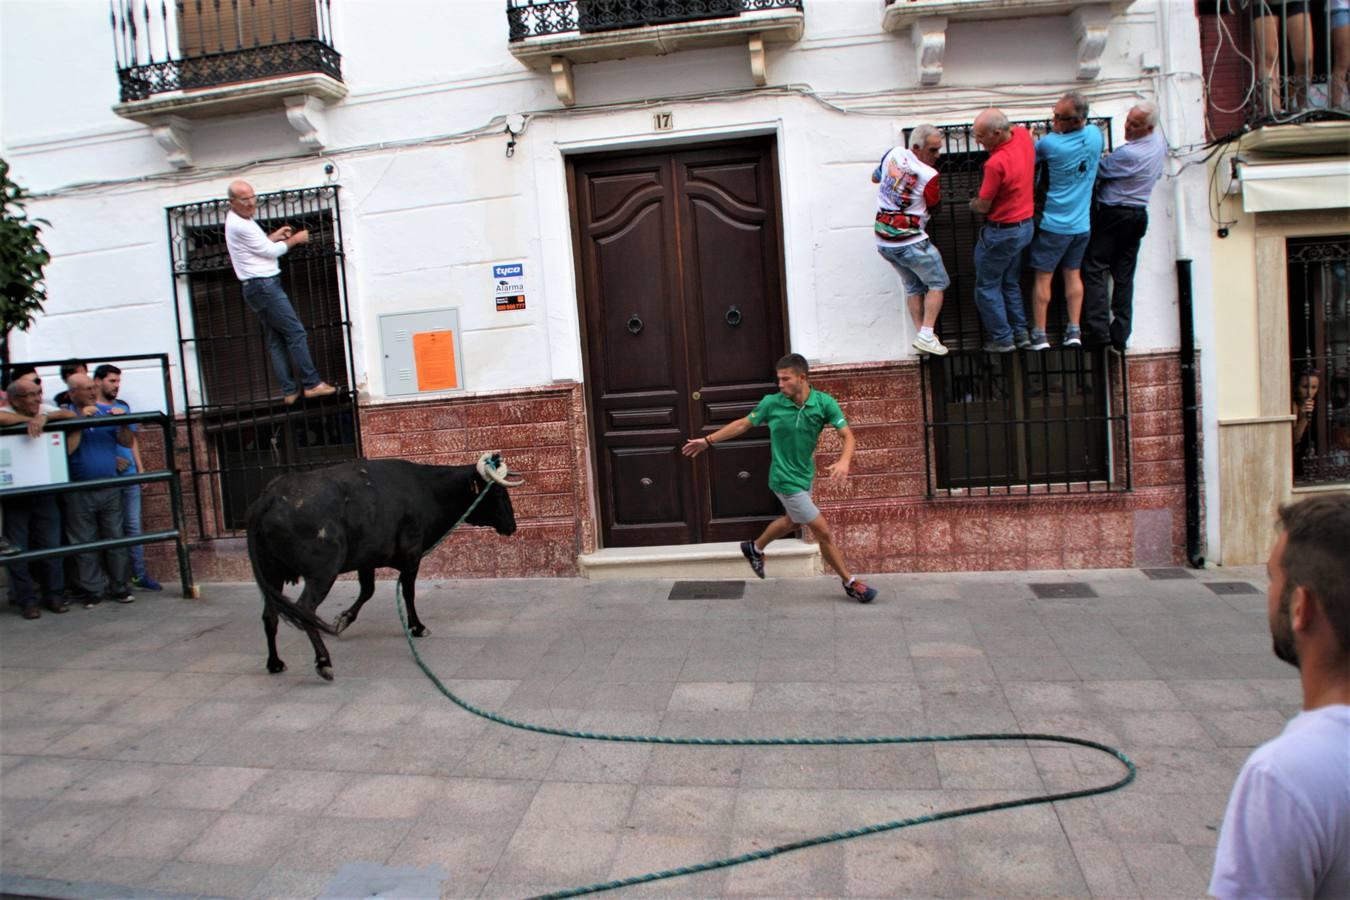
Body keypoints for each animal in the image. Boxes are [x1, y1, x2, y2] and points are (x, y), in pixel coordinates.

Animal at [245, 453, 518, 680]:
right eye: (497, 494)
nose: (512, 526)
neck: (427, 489)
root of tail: (268, 498)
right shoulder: (411, 555)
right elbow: (408, 592)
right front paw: (417, 627)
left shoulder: (367, 560)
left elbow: (368, 591)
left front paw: (343, 619)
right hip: (322, 573)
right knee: (305, 609)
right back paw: (324, 661)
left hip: (272, 575)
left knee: (270, 615)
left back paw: (275, 663)